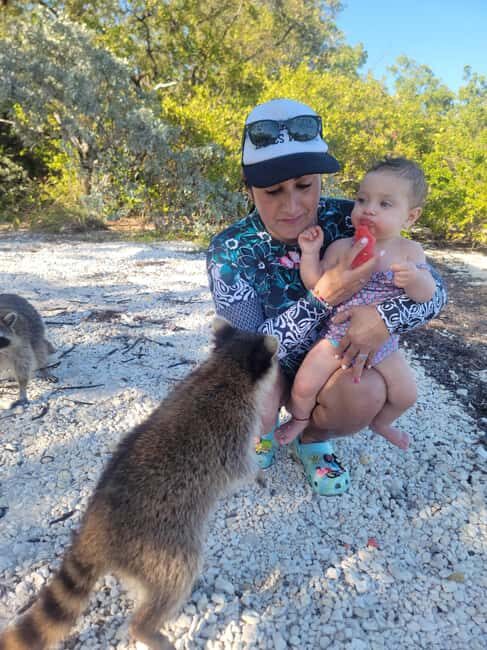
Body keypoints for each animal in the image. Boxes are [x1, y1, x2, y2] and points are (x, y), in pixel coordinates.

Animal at [0, 319, 278, 650]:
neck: (224, 366)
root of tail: (95, 530)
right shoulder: (234, 429)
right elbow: (239, 467)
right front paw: (257, 474)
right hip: (160, 547)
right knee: (175, 577)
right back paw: (146, 627)